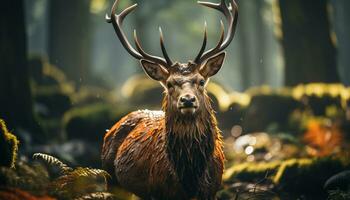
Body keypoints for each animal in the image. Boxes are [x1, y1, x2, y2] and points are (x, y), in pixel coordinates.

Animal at [101, 0, 238, 198]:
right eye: (170, 83)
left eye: (201, 81)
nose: (187, 100)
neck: (190, 178)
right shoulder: (159, 192)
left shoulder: (212, 190)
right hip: (110, 178)